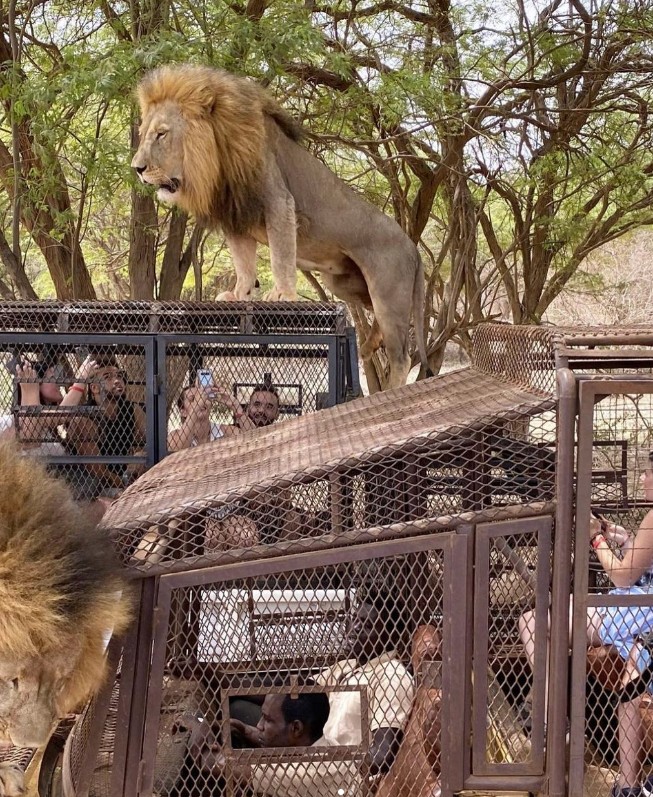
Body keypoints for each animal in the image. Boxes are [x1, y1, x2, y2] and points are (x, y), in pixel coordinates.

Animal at [131, 63, 430, 388]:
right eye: (143, 135)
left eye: (161, 134)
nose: (137, 168)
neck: (218, 155)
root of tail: (414, 249)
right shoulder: (237, 216)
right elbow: (244, 263)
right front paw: (239, 294)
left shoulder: (278, 201)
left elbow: (281, 254)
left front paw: (282, 295)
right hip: (342, 283)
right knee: (376, 319)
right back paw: (371, 343)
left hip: (387, 292)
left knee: (401, 356)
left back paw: (387, 388)